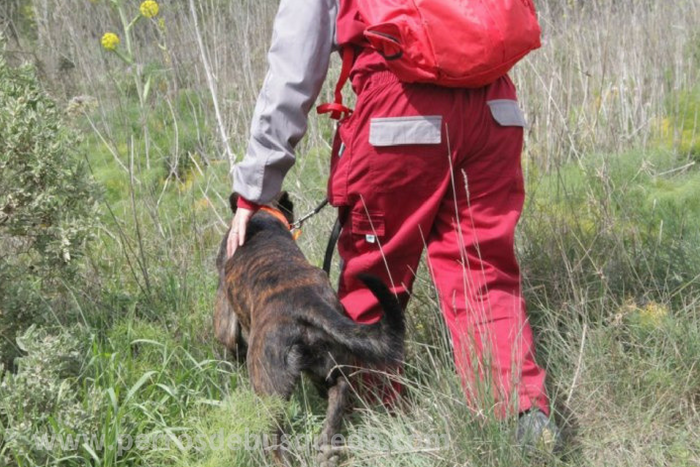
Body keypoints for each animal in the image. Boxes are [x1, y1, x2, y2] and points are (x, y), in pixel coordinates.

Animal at [213, 192, 404, 466]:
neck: (264, 215)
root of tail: (305, 300)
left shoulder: (224, 315)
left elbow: (231, 340)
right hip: (332, 371)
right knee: (335, 405)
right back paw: (327, 451)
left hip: (269, 392)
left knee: (274, 444)